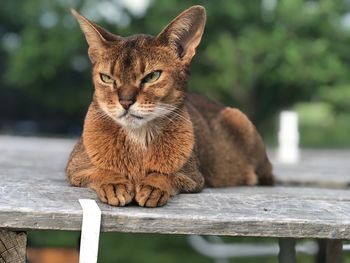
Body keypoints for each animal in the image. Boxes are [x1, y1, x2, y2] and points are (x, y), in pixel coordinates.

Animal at [65, 5, 274, 208]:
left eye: (152, 76)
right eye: (107, 78)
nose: (125, 101)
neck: (138, 138)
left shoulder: (193, 177)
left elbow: (167, 174)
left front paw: (153, 186)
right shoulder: (74, 168)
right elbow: (100, 170)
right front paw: (114, 184)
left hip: (238, 118)